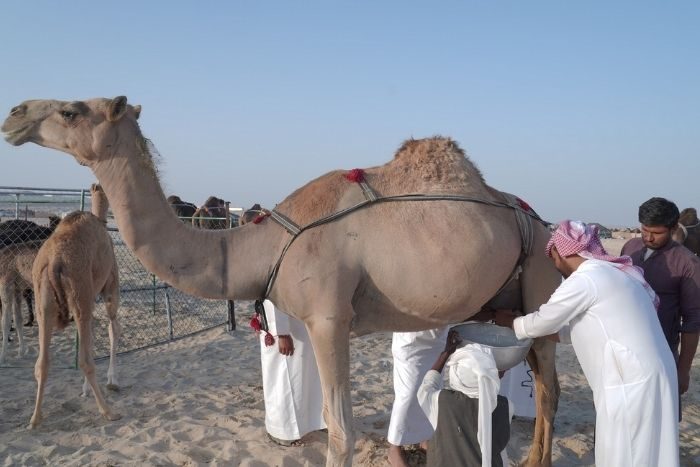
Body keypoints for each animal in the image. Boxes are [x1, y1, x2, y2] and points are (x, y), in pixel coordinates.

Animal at [27, 183, 121, 428]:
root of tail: (54, 262)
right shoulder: (109, 287)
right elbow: (112, 330)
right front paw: (112, 381)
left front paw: (85, 389)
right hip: (80, 292)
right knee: (86, 360)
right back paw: (108, 411)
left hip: (44, 302)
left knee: (42, 362)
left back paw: (35, 418)